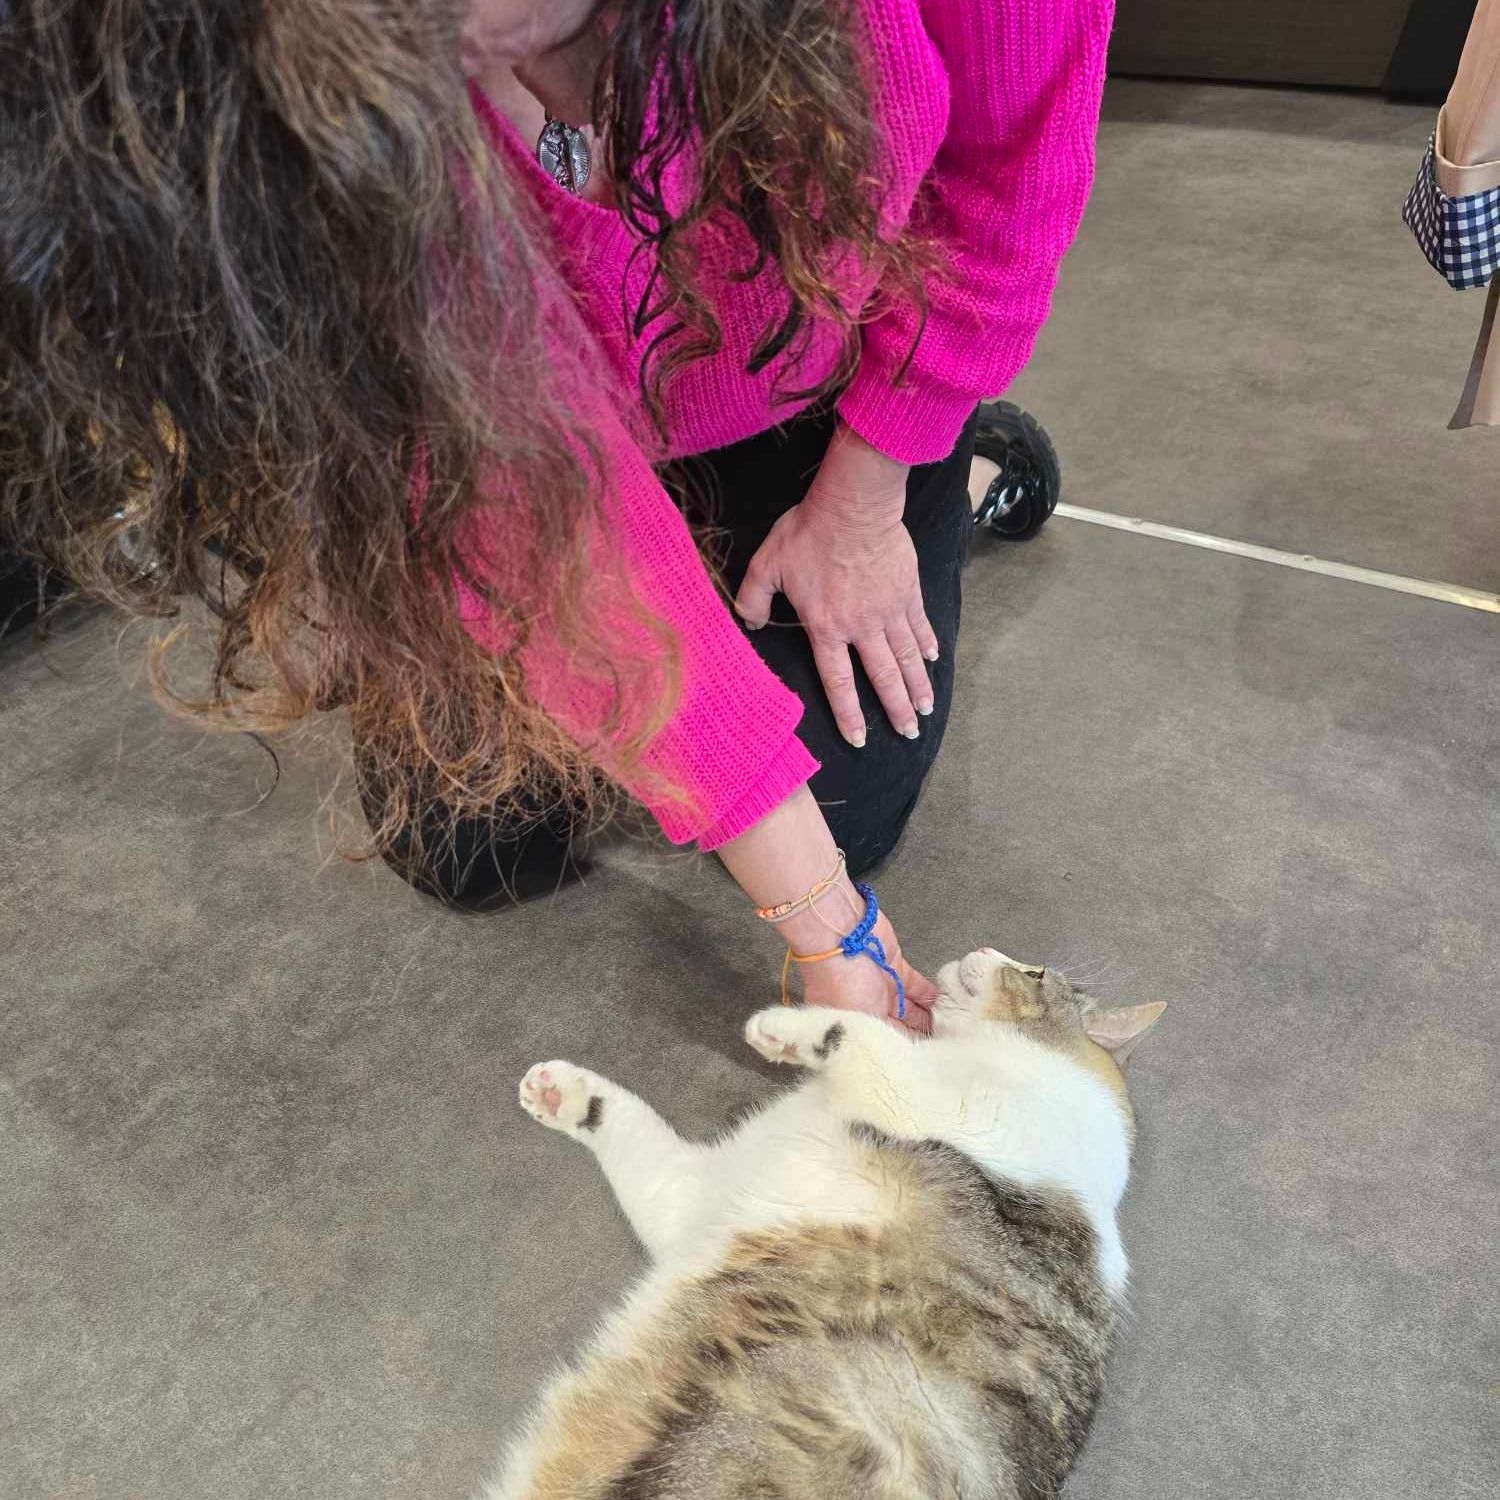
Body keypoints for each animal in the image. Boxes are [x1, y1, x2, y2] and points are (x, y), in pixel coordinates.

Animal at [486, 947, 1165, 1500]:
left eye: (1034, 973)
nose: (984, 948)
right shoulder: (693, 1196)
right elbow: (630, 1131)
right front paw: (564, 1095)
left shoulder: (935, 1101)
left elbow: (859, 1033)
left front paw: (783, 1028)